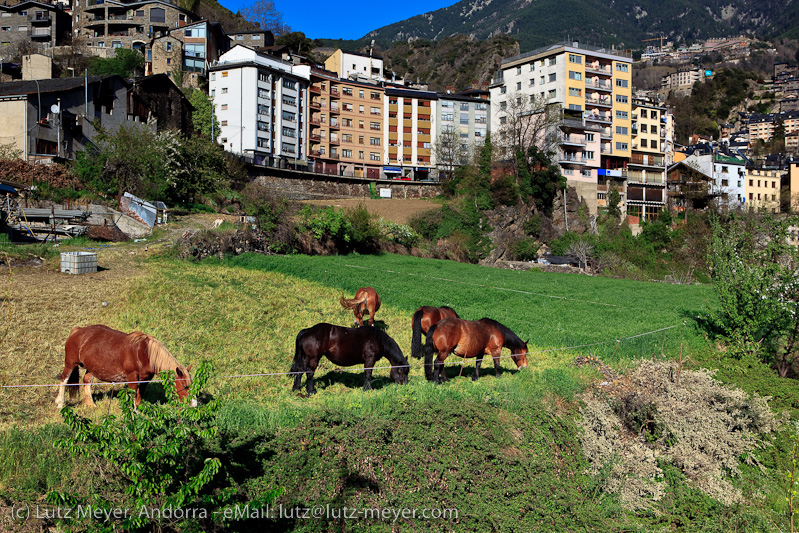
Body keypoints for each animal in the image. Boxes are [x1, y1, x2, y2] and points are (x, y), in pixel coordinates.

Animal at [55, 324, 194, 408]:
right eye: (185, 386)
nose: (193, 405)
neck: (145, 354)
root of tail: (78, 330)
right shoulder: (132, 377)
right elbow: (133, 394)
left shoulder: (145, 380)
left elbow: (139, 396)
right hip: (70, 363)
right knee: (64, 380)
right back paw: (60, 403)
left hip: (91, 368)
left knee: (86, 381)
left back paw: (90, 404)